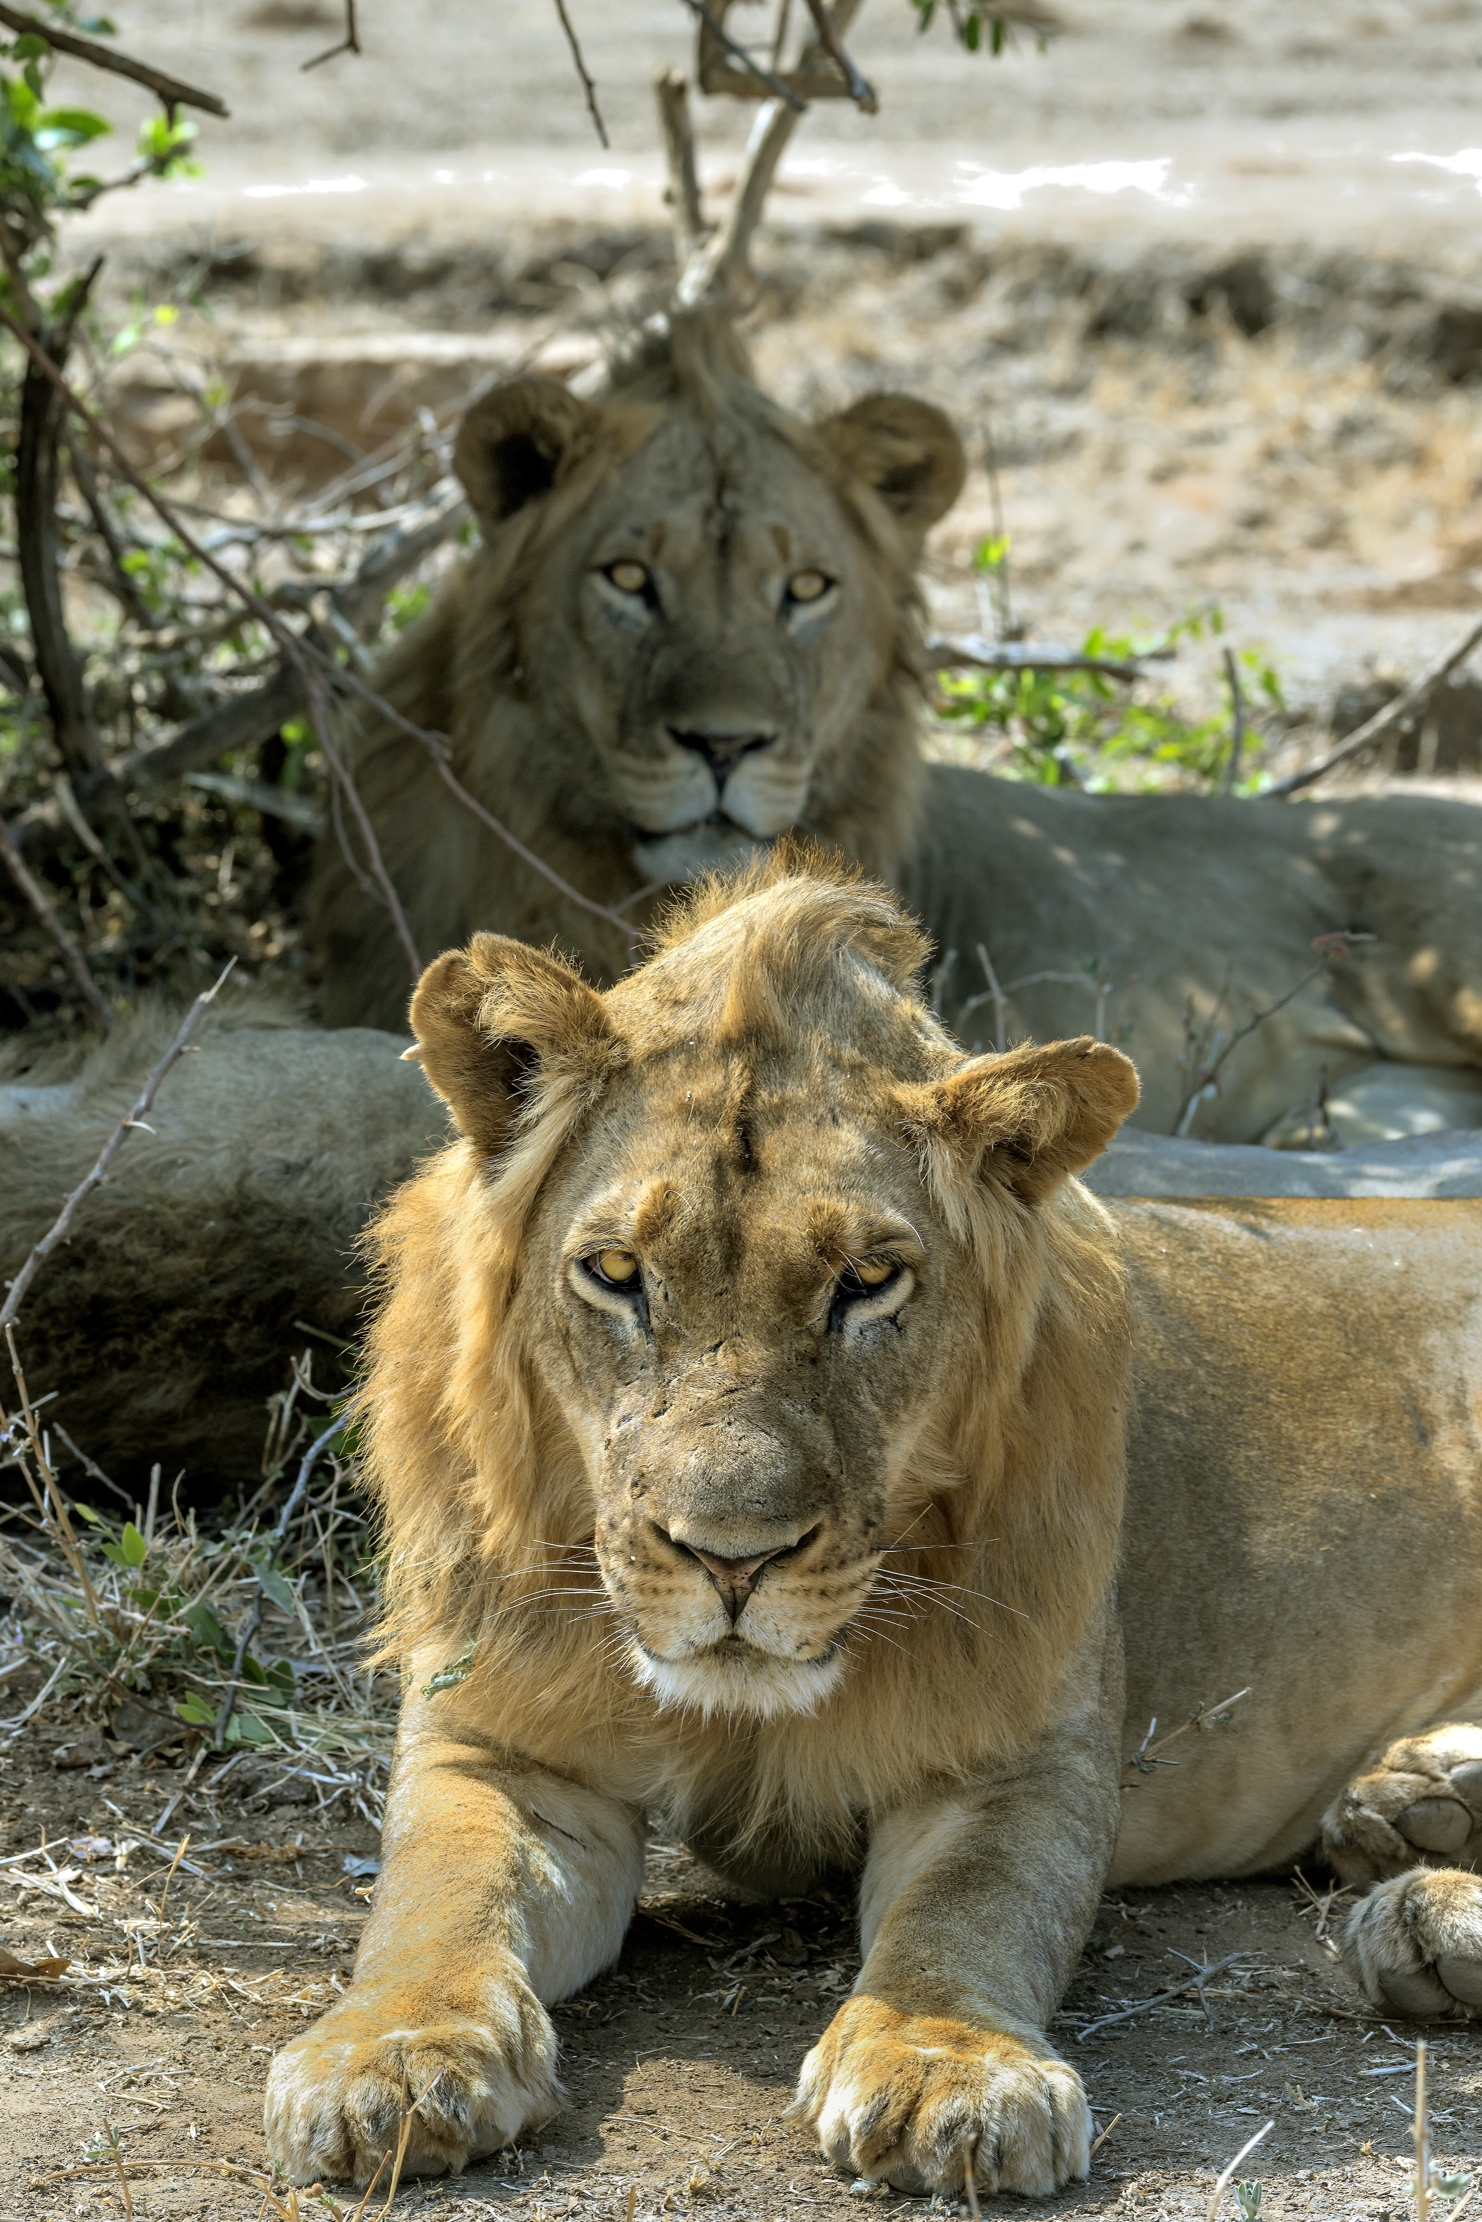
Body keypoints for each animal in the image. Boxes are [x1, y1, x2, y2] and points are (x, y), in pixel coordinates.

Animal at [265, 853, 1482, 2197]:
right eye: (618, 1272)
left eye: (868, 1281)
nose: (730, 1559)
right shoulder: (502, 1745)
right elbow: (438, 1893)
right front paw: (394, 2052)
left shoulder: (1018, 1755)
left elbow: (966, 1910)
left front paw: (947, 2067)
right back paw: (1418, 1805)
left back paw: (1427, 1913)